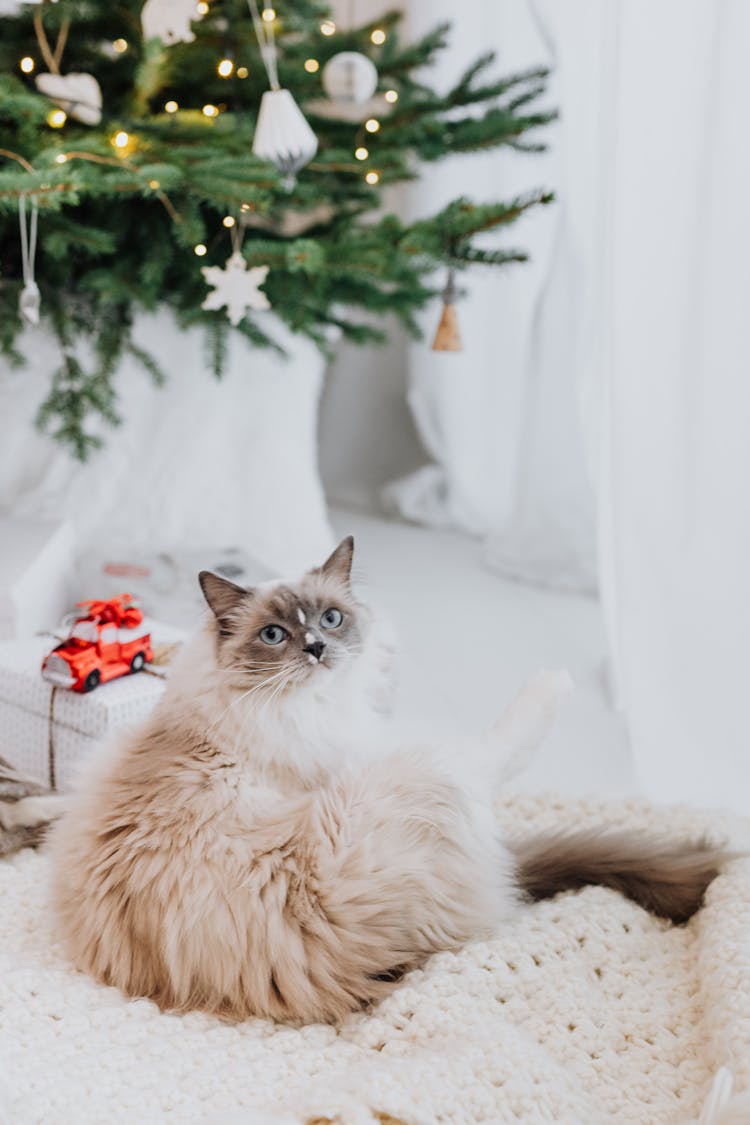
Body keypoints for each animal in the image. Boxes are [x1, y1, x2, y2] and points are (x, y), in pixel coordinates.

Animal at [48, 540, 728, 1026]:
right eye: (275, 635)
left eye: (330, 618)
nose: (317, 649)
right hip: (424, 767)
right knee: (490, 762)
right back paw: (551, 685)